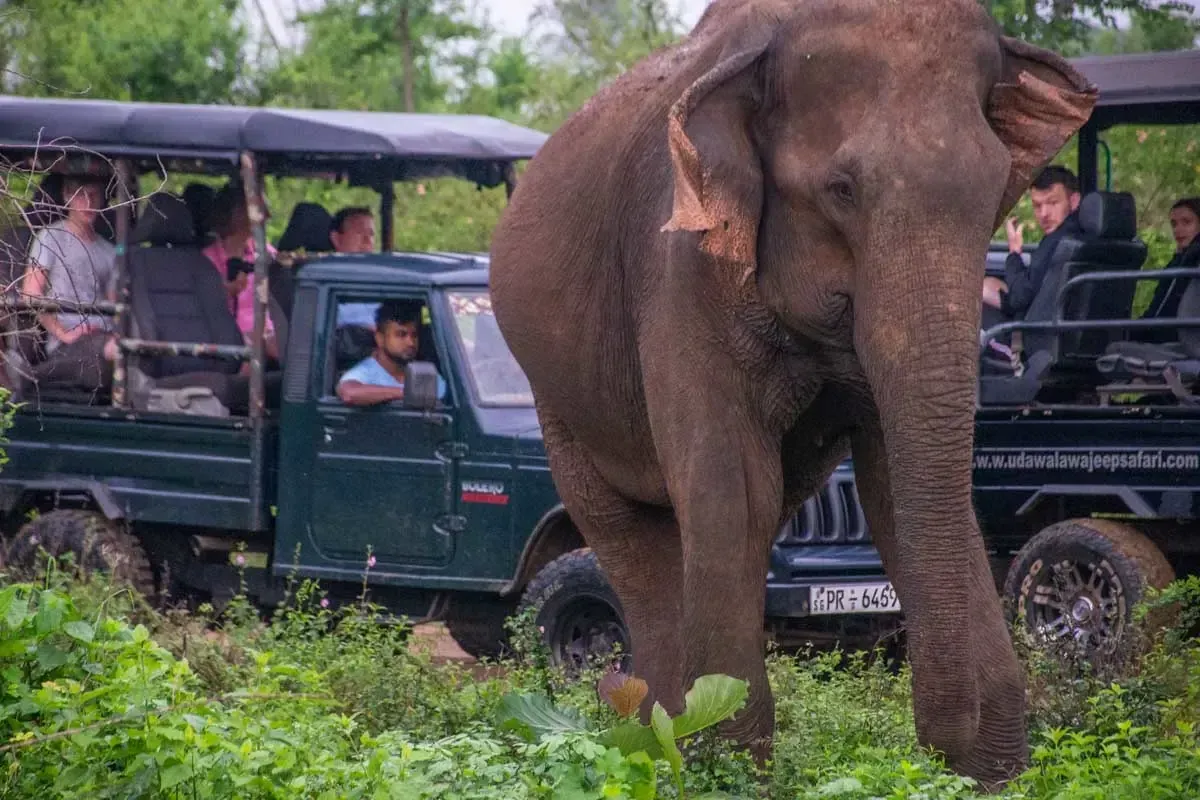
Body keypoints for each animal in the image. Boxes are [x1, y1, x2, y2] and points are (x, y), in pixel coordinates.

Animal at [488, 0, 1096, 787]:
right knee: (631, 532)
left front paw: (995, 774)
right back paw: (657, 734)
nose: (941, 756)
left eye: (997, 191)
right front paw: (728, 769)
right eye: (842, 189)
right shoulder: (678, 268)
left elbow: (894, 488)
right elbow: (733, 489)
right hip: (555, 395)